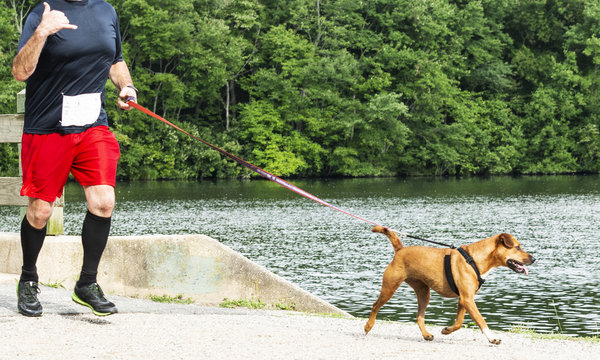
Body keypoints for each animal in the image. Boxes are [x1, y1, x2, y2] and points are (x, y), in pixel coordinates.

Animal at [364, 225, 536, 346]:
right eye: (517, 247)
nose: (534, 259)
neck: (474, 260)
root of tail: (400, 250)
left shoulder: (464, 299)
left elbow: (459, 323)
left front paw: (446, 330)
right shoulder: (467, 299)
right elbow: (481, 320)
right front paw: (492, 338)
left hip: (424, 292)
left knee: (419, 316)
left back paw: (426, 335)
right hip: (390, 287)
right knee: (375, 306)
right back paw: (368, 326)